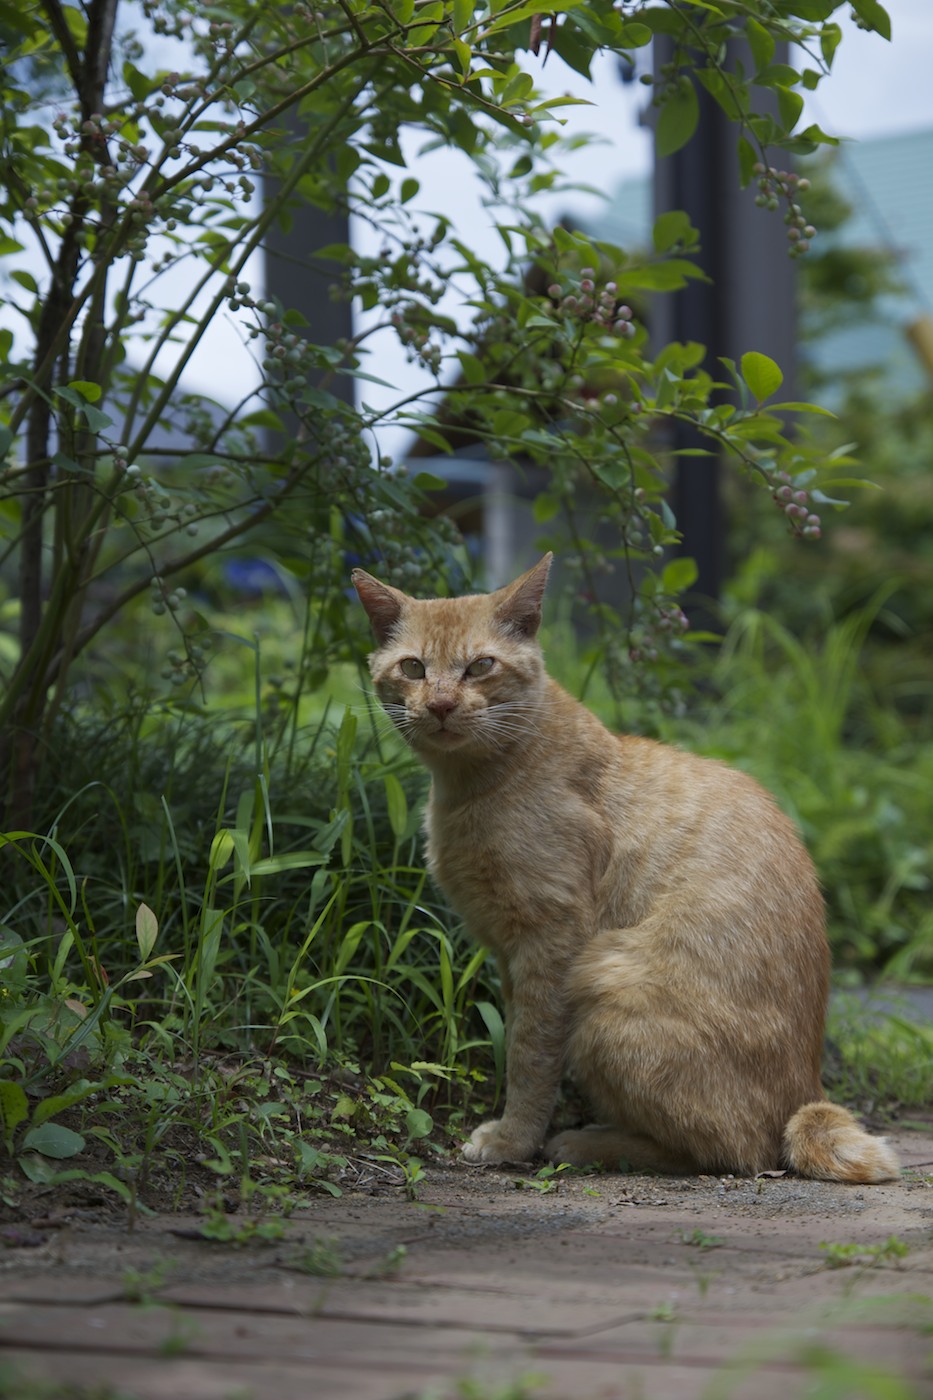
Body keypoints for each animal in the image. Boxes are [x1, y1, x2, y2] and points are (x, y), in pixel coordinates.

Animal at [353, 557, 896, 1181]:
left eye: (481, 666)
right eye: (414, 668)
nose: (441, 705)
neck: (470, 784)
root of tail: (807, 1092)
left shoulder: (550, 941)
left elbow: (530, 1054)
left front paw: (515, 1139)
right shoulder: (510, 956)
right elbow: (518, 1037)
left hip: (604, 986)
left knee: (737, 1150)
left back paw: (590, 1143)